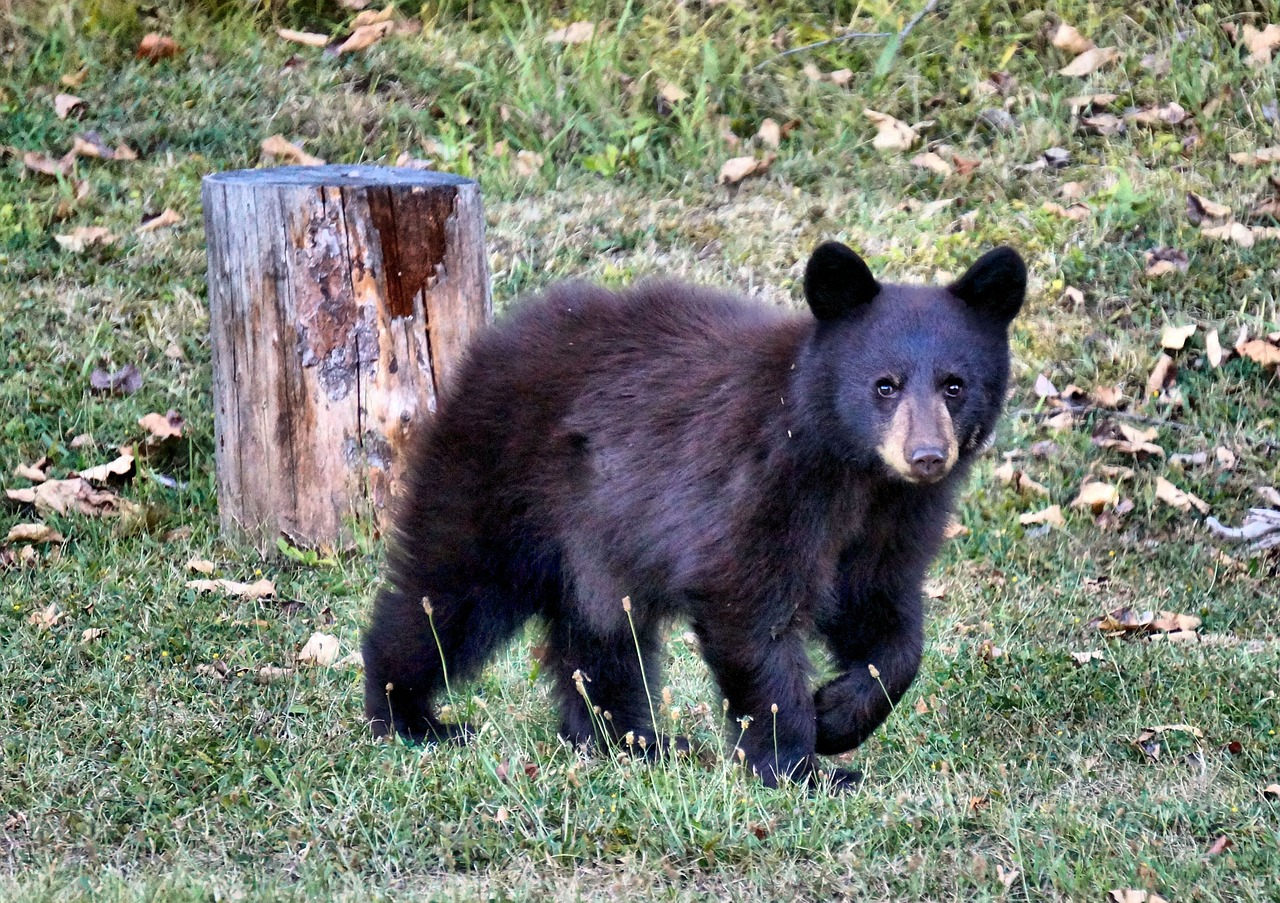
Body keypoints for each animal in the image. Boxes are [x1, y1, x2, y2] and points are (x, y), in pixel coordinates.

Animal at [366, 240, 1024, 789]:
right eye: (885, 385)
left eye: (955, 385)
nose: (927, 456)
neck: (853, 471)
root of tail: (489, 344)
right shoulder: (762, 483)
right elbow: (749, 608)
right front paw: (800, 765)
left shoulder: (896, 520)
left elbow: (885, 617)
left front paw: (837, 715)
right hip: (501, 482)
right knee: (447, 592)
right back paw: (409, 716)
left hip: (595, 537)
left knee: (600, 633)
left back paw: (632, 741)